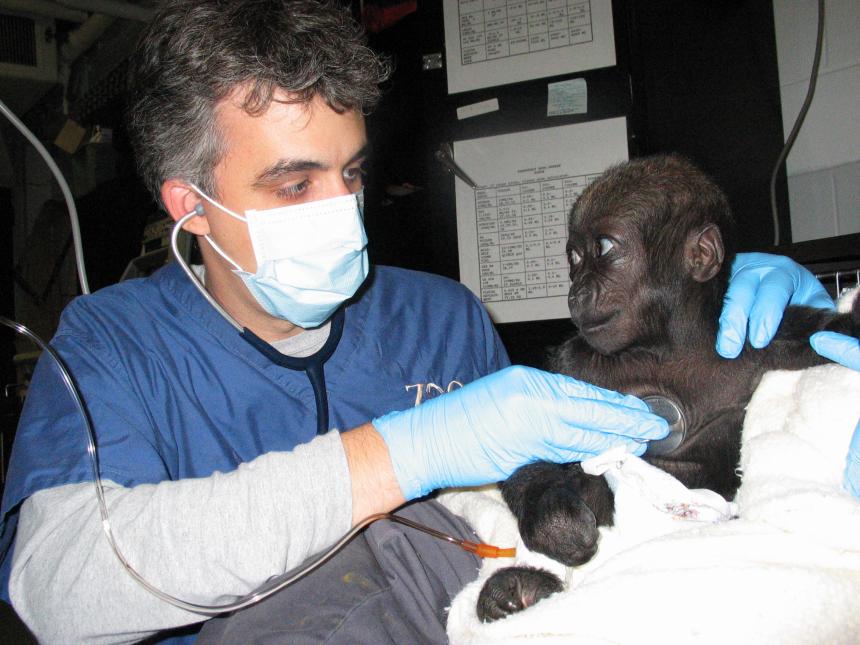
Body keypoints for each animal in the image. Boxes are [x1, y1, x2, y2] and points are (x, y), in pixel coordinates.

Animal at [478, 153, 860, 620]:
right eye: (574, 257)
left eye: (605, 249)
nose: (576, 291)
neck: (663, 346)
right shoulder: (570, 363)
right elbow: (530, 440)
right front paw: (556, 522)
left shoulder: (769, 339)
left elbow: (830, 332)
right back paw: (517, 590)